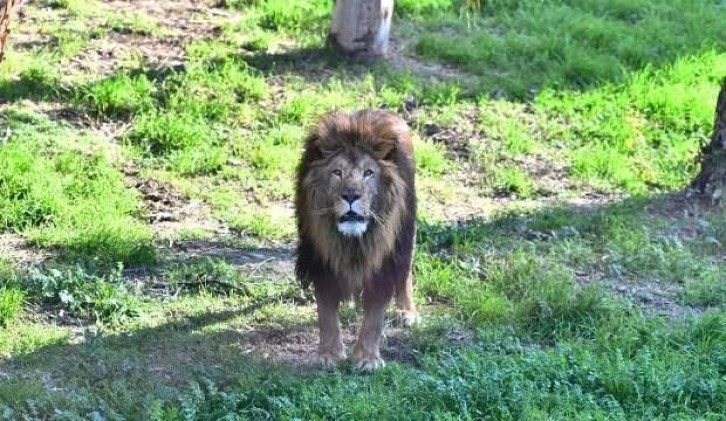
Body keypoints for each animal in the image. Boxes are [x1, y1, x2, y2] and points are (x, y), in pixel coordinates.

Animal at [296, 109, 418, 370]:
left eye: (368, 173)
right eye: (337, 172)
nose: (351, 195)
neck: (353, 242)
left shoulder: (384, 262)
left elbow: (374, 316)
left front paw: (367, 358)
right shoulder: (321, 258)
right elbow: (326, 312)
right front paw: (329, 354)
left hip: (407, 231)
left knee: (406, 271)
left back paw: (407, 312)